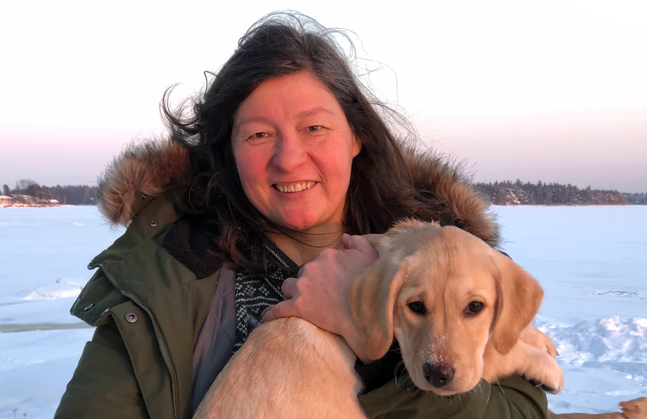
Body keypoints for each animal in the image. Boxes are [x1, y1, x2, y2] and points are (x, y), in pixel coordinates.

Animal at [195, 221, 564, 418]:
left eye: (475, 307)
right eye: (415, 306)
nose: (438, 376)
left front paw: (540, 339)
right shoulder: (463, 367)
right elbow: (499, 352)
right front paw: (549, 368)